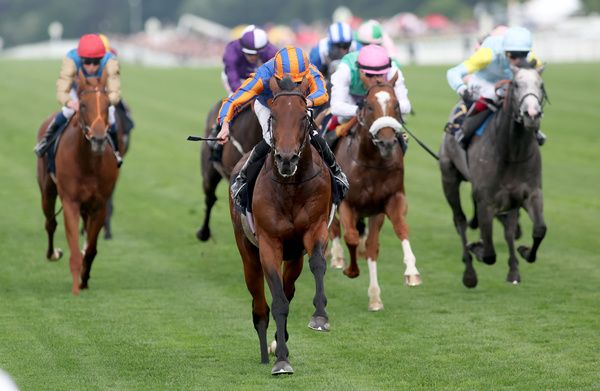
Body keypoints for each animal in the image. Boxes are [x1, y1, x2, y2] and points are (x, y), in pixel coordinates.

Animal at [37, 69, 119, 294]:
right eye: (82, 105)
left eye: (107, 104)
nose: (99, 139)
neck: (88, 163)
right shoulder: (70, 202)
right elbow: (72, 244)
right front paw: (76, 282)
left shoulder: (99, 204)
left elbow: (91, 248)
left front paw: (84, 278)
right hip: (47, 190)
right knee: (50, 223)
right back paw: (53, 253)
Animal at [230, 77, 332, 376]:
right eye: (273, 116)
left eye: (304, 117)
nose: (286, 159)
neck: (290, 186)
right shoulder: (268, 243)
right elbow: (276, 302)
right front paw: (281, 361)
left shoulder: (315, 229)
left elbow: (318, 264)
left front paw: (319, 317)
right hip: (248, 255)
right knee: (260, 306)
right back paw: (267, 351)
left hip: (294, 257)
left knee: (289, 289)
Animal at [330, 74, 420, 312]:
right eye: (369, 105)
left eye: (396, 105)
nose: (387, 142)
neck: (371, 162)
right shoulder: (346, 203)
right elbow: (351, 236)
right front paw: (351, 269)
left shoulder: (387, 202)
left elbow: (392, 234)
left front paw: (410, 273)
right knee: (334, 228)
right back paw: (336, 257)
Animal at [438, 62, 548, 288]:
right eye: (516, 85)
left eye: (541, 85)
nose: (532, 114)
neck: (511, 152)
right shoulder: (486, 201)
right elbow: (489, 253)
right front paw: (476, 248)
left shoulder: (529, 193)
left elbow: (539, 229)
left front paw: (524, 253)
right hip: (449, 177)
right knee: (460, 221)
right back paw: (469, 272)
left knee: (508, 228)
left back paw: (513, 269)